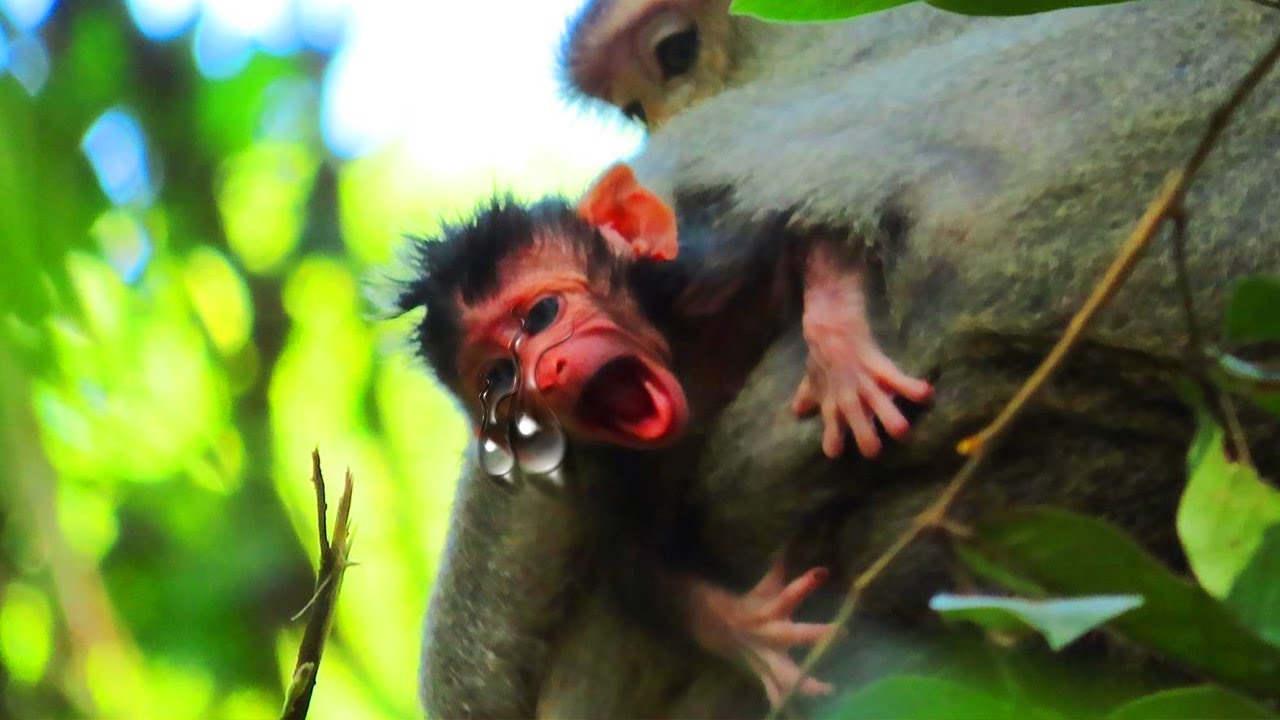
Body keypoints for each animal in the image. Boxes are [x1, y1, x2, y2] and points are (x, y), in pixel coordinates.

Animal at [421, 0, 1280, 717]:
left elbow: (802, 233)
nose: (550, 373)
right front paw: (747, 629)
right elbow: (642, 565)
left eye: (675, 53)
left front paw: (841, 357)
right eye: (497, 375)